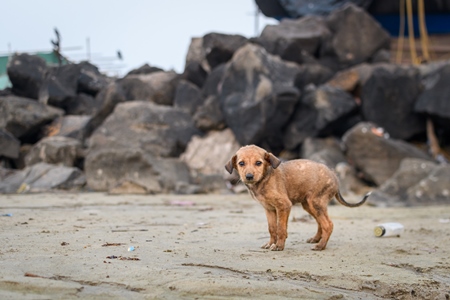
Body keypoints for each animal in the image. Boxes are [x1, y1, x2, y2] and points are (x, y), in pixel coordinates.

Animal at [225, 145, 370, 251]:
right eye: (241, 163)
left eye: (258, 163)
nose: (249, 176)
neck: (264, 179)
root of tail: (334, 175)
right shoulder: (269, 209)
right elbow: (272, 228)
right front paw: (270, 243)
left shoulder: (284, 205)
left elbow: (281, 228)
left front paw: (279, 246)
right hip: (310, 205)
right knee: (321, 223)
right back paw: (316, 239)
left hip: (315, 202)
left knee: (328, 224)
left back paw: (320, 246)